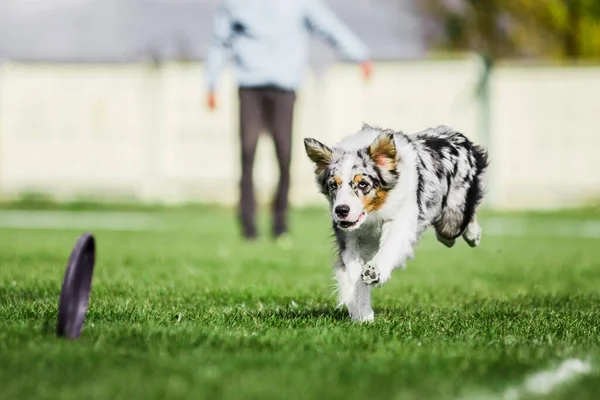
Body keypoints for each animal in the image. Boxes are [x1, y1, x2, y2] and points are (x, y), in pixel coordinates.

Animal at [304, 124, 488, 322]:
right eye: (333, 185)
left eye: (363, 184)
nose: (341, 211)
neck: (373, 214)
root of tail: (453, 133)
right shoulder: (350, 238)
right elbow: (354, 276)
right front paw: (364, 315)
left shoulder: (399, 219)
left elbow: (389, 247)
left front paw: (375, 271)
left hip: (453, 213)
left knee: (456, 223)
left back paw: (473, 235)